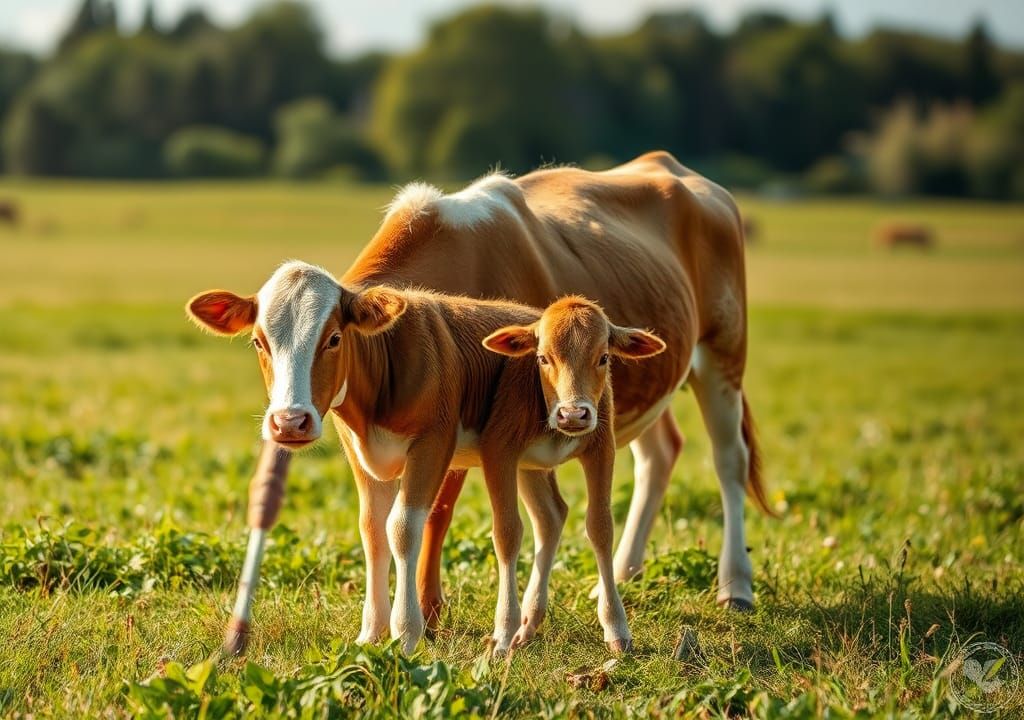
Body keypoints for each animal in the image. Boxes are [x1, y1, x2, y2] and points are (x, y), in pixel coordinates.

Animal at [189, 274, 664, 653]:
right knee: (550, 516)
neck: (383, 377)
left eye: (334, 338)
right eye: (259, 342)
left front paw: (406, 631)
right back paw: (528, 625)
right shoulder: (360, 453)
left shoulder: (435, 445)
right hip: (530, 466)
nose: (289, 421)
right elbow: (372, 530)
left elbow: (403, 528)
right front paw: (372, 632)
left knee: (575, 522)